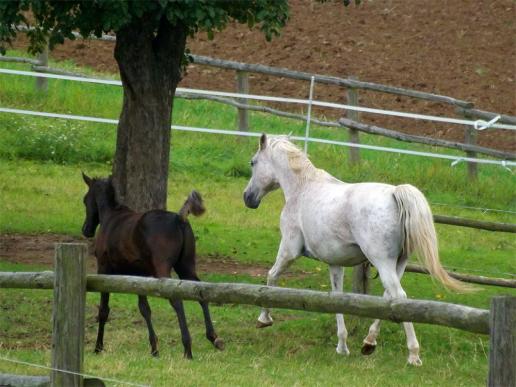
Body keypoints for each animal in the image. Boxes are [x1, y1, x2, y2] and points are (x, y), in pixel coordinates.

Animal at [81, 174, 223, 360]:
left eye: (85, 200)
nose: (86, 230)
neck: (111, 217)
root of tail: (178, 219)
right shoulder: (138, 276)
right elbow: (145, 309)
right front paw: (154, 349)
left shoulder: (104, 270)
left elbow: (104, 310)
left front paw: (98, 347)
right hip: (185, 266)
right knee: (201, 293)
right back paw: (213, 337)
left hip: (163, 269)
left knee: (177, 299)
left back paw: (187, 347)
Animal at [242, 136, 468, 366]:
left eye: (253, 162)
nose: (248, 198)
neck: (302, 188)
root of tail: (395, 192)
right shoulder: (335, 264)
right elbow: (337, 299)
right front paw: (342, 346)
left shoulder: (289, 250)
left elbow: (271, 278)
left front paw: (264, 319)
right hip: (399, 264)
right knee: (390, 298)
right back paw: (369, 342)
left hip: (382, 262)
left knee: (399, 296)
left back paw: (413, 355)